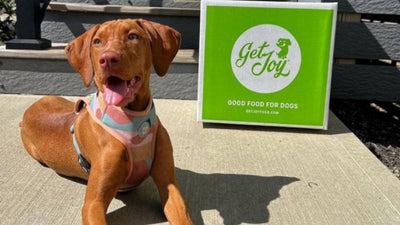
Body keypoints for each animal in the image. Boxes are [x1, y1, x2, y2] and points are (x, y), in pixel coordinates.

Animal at [20, 18, 192, 224]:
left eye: (132, 36)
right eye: (97, 42)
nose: (107, 59)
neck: (134, 120)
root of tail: (30, 108)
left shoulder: (169, 185)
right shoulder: (93, 203)